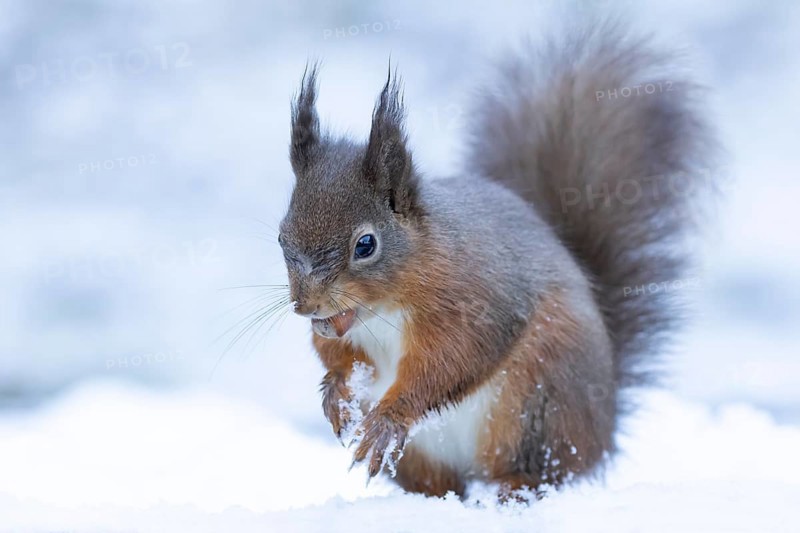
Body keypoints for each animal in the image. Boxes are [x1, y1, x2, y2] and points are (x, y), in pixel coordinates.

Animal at [277, 20, 715, 499]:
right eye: (281, 236)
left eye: (365, 245)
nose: (306, 306)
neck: (383, 309)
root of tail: (605, 430)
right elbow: (338, 354)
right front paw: (336, 392)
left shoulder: (475, 300)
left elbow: (451, 361)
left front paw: (390, 417)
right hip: (428, 453)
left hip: (538, 398)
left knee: (548, 469)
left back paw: (516, 485)